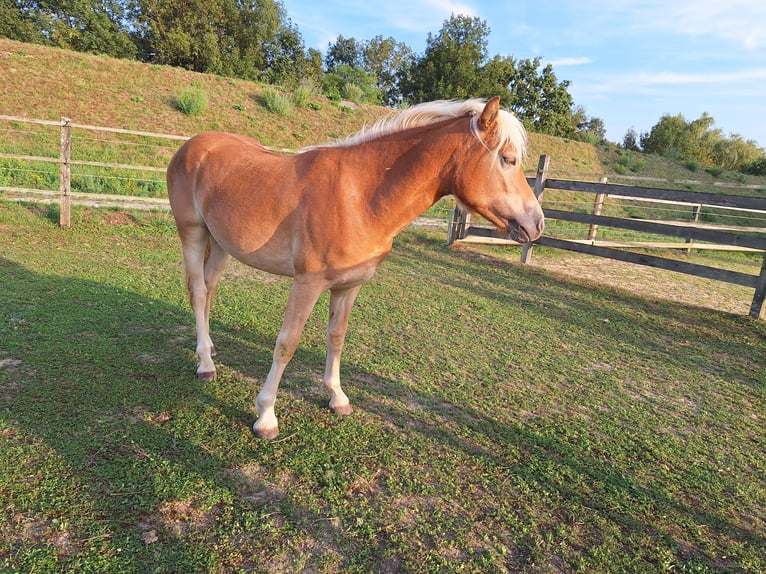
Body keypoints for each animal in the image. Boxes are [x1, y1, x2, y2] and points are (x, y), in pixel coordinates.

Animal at [168, 98, 544, 440]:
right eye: (508, 159)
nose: (536, 224)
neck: (359, 197)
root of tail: (194, 145)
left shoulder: (349, 286)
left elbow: (336, 337)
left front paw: (337, 397)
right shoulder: (307, 284)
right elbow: (287, 344)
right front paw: (266, 416)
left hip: (222, 244)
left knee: (209, 288)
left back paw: (209, 348)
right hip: (193, 234)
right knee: (198, 292)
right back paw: (205, 365)